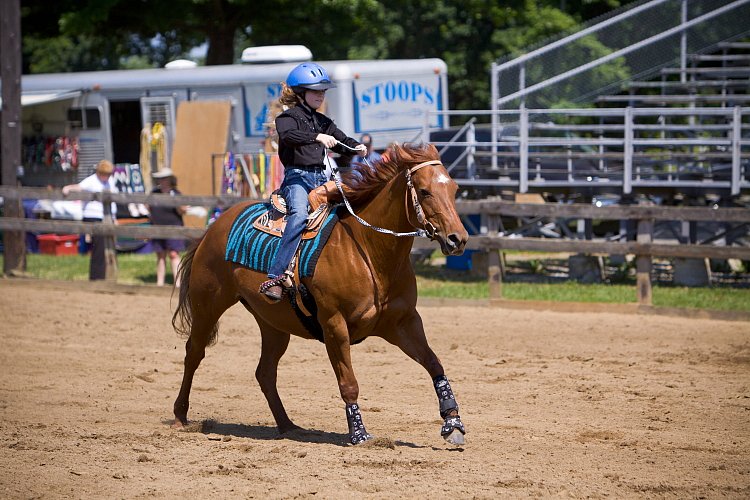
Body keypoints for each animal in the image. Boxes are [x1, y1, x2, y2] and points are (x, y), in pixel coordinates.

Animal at [173, 142, 472, 446]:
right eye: (424, 191)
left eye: (454, 189)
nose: (457, 239)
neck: (368, 251)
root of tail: (214, 226)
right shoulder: (334, 325)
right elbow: (349, 383)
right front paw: (359, 433)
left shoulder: (404, 323)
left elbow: (434, 364)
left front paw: (453, 423)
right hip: (208, 305)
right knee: (194, 353)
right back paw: (180, 416)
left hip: (273, 324)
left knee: (265, 372)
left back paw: (288, 425)